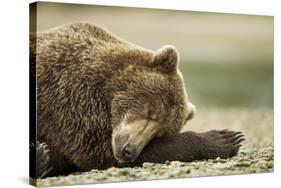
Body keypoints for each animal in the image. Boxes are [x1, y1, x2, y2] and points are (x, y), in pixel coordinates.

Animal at [29, 22, 243, 178]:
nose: (129, 150)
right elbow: (95, 150)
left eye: (160, 132)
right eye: (150, 112)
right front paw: (225, 138)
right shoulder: (71, 98)